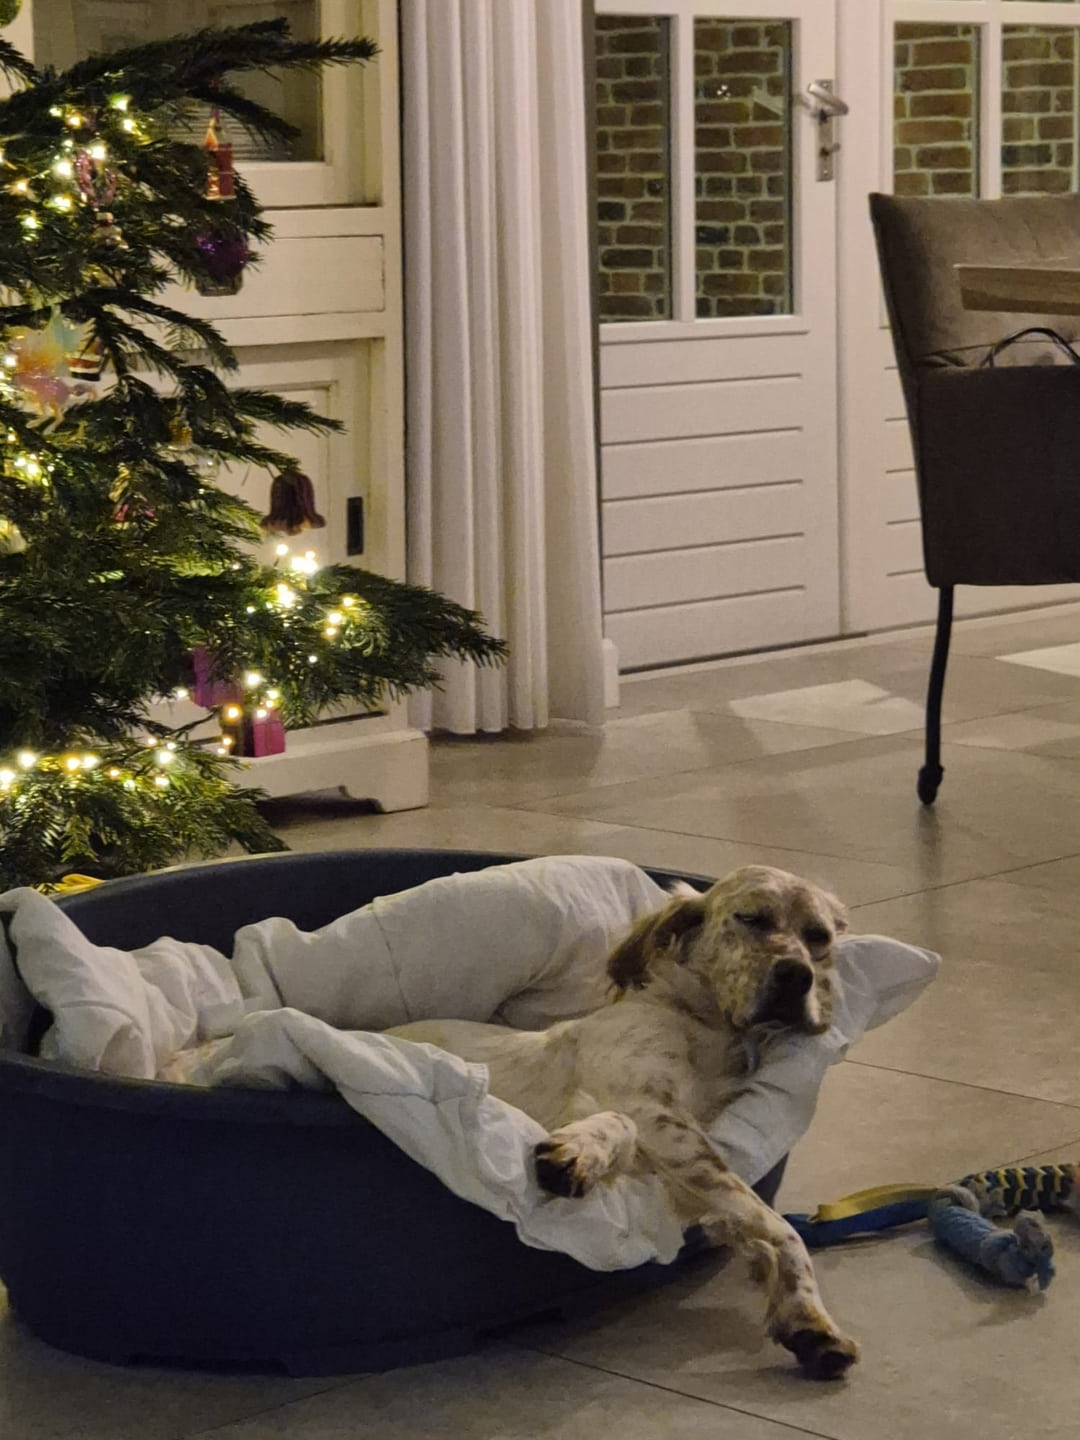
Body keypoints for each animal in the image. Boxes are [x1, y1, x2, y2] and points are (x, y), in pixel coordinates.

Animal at [388, 865, 858, 1380]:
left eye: (818, 936)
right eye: (752, 917)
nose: (797, 975)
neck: (702, 1028)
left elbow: (753, 1223)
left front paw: (803, 1315)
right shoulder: (651, 1112)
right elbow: (780, 1227)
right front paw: (579, 1151)